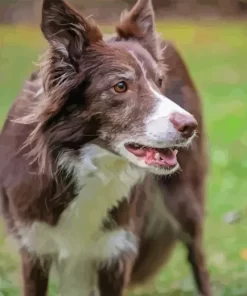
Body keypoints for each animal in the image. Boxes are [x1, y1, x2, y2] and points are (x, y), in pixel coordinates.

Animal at [0, 0, 211, 294]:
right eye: (120, 86)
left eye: (160, 83)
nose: (190, 126)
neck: (87, 166)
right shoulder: (34, 249)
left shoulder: (115, 252)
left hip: (185, 202)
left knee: (199, 261)